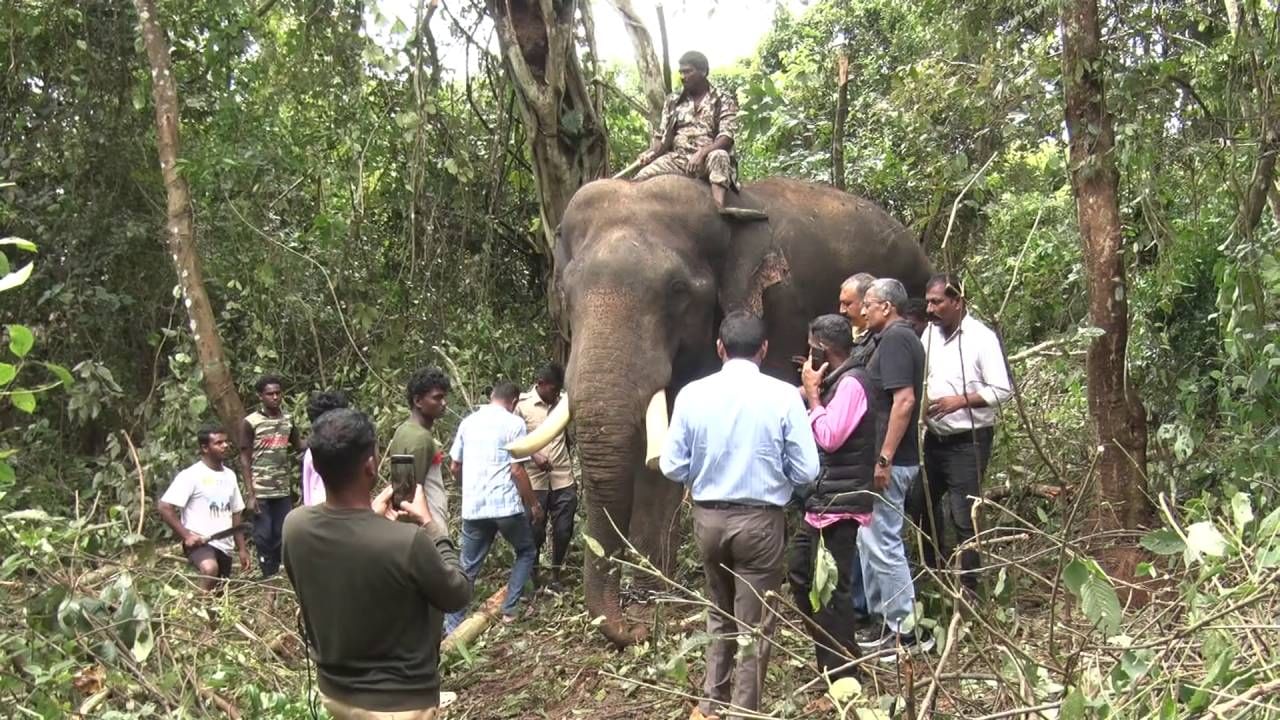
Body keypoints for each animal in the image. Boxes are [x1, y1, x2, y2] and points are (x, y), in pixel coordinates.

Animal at [509, 174, 931, 645]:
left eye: (676, 291)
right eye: (565, 293)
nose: (635, 631)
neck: (725, 214)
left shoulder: (779, 310)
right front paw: (654, 592)